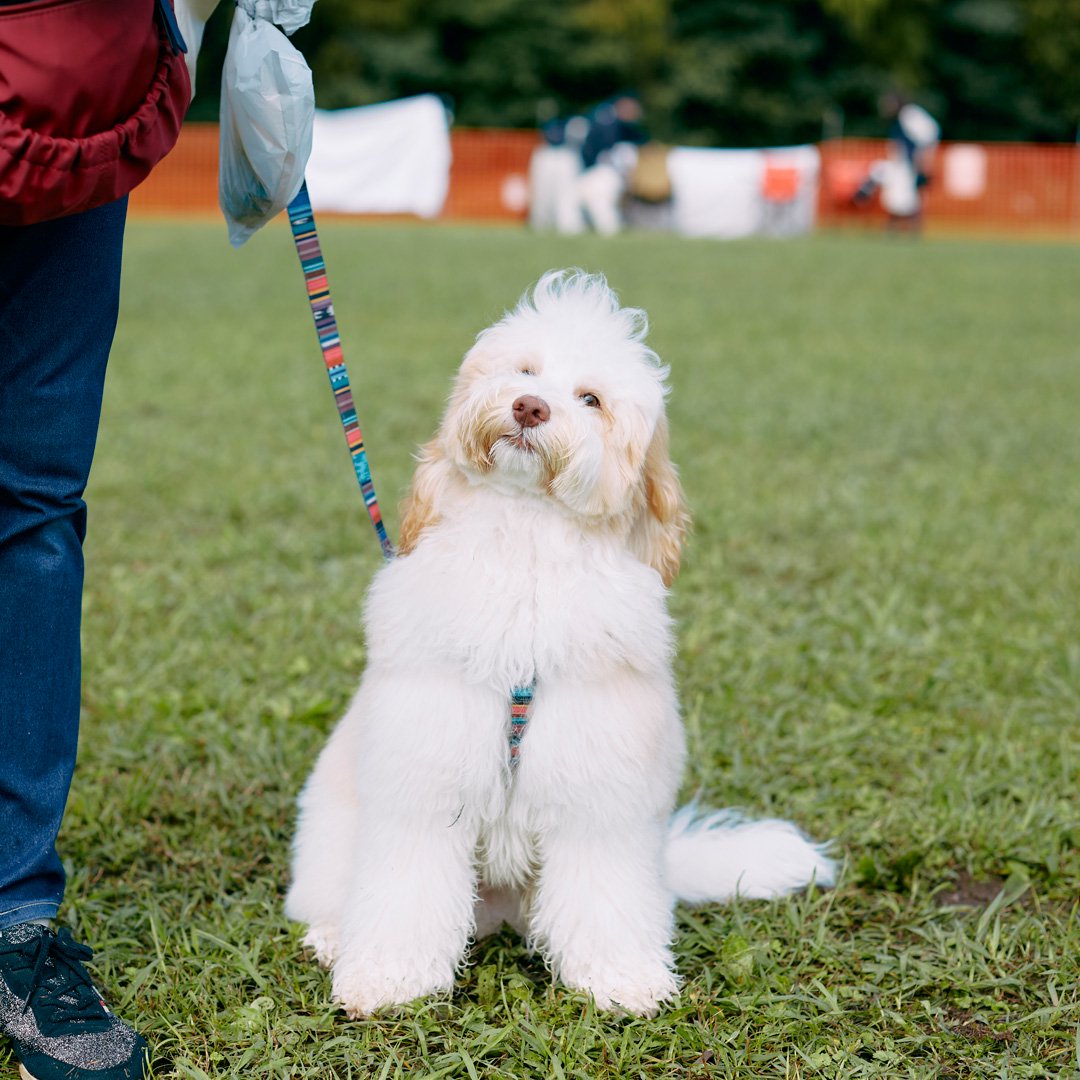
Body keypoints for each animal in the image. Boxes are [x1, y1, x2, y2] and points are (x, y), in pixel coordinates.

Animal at [287, 274, 833, 1015]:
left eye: (591, 399)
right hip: (331, 833)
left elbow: (604, 895)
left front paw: (621, 980)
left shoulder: (602, 789)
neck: (528, 540)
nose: (529, 406)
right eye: (524, 371)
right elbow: (406, 889)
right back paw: (334, 935)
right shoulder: (426, 778)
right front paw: (389, 980)